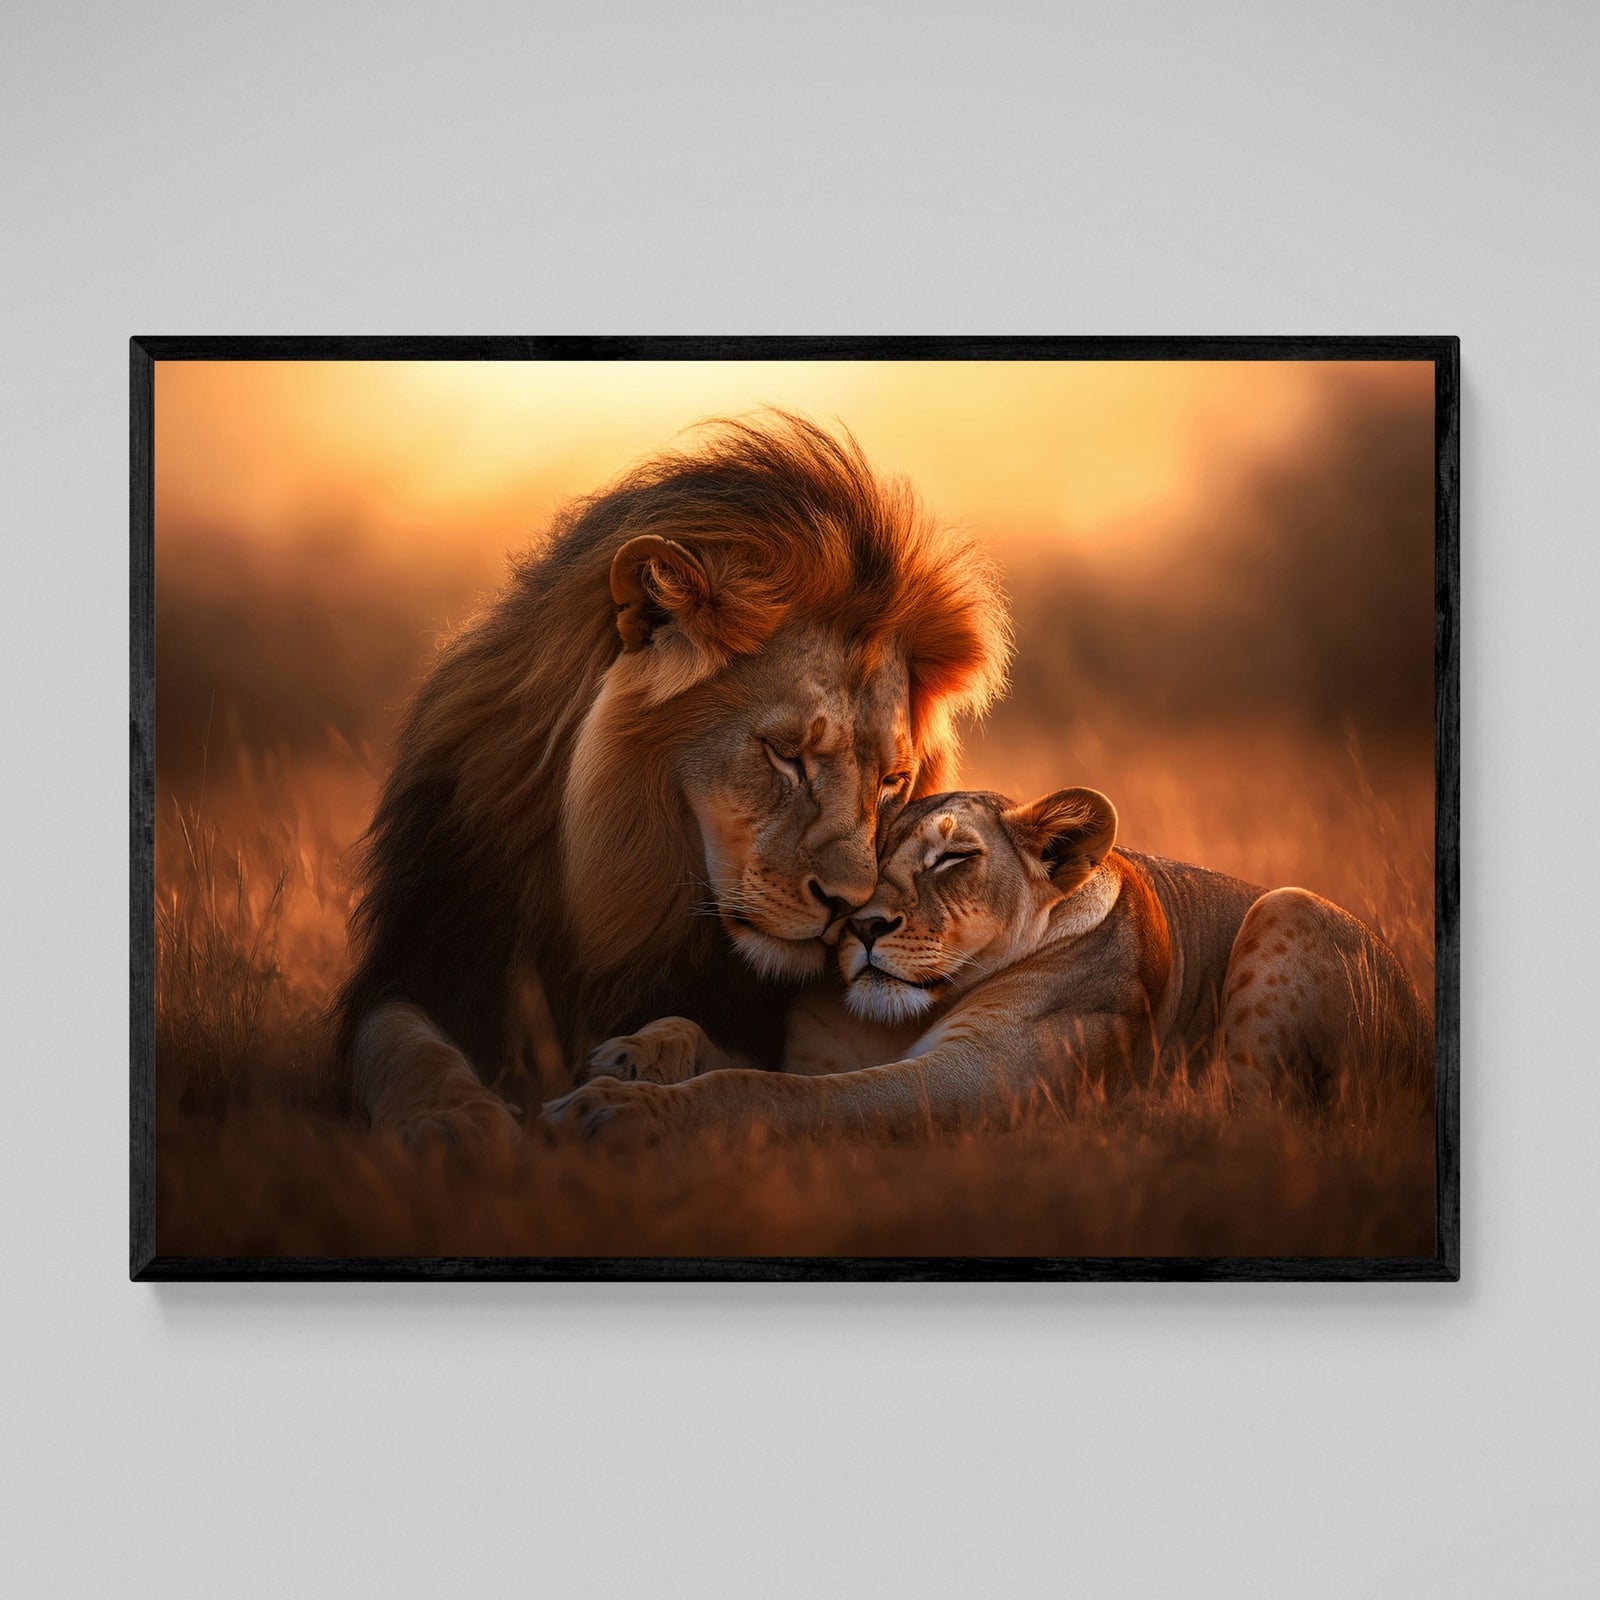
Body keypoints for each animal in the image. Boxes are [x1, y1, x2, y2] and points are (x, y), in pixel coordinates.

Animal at [333, 415, 1012, 1144]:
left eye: (890, 783)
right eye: (786, 755)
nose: (848, 907)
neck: (630, 883)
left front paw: (638, 1065)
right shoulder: (433, 955)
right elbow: (404, 1044)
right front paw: (454, 1122)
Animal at [546, 786, 1432, 1139]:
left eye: (952, 860)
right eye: (869, 853)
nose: (863, 924)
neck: (915, 1011)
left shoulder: (982, 1082)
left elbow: (763, 1090)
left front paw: (615, 1111)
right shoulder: (819, 1053)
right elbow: (709, 1041)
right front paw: (626, 1059)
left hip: (1289, 904)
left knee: (1256, 1124)